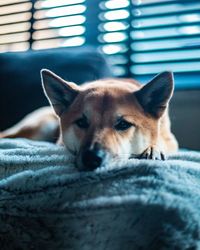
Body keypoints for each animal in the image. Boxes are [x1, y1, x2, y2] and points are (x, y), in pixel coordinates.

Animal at [0, 69, 178, 170]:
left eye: (123, 124)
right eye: (81, 122)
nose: (92, 159)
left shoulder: (171, 140)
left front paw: (153, 148)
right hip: (38, 126)